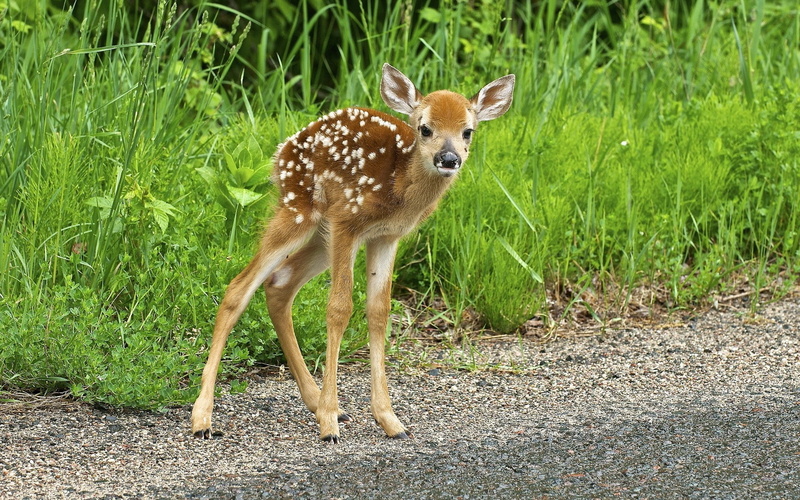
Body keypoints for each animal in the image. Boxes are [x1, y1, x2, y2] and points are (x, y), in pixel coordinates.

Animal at [191, 63, 515, 442]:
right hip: (301, 211)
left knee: (279, 282)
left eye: (468, 131)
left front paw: (389, 420)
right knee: (238, 288)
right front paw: (329, 424)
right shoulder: (347, 221)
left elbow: (378, 311)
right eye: (425, 128)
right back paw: (203, 418)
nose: (449, 159)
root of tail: (282, 150)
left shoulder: (386, 237)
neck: (399, 186)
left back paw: (316, 401)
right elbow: (339, 308)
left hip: (321, 236)